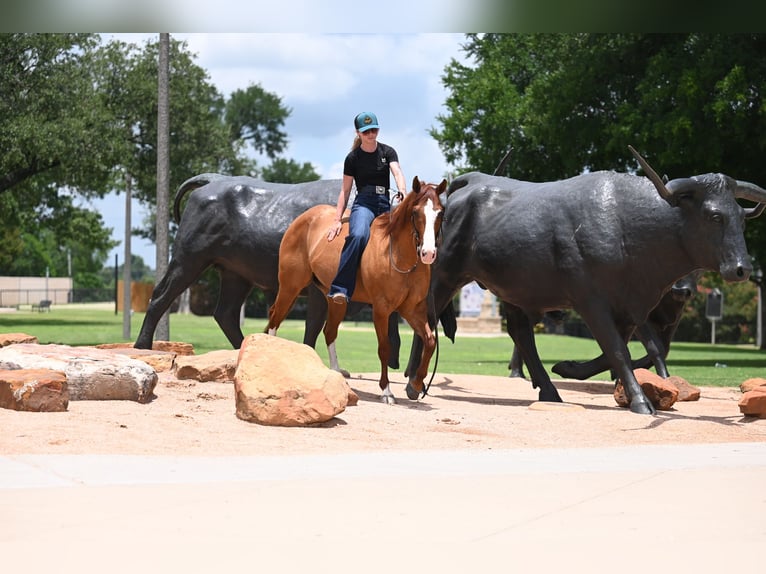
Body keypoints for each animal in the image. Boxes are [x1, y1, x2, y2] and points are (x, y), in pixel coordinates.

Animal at [267, 177, 447, 404]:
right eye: (415, 212)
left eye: (440, 212)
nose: (428, 253)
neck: (397, 254)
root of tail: (303, 219)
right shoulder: (381, 310)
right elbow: (385, 348)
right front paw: (386, 391)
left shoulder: (412, 310)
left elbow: (430, 341)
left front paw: (415, 385)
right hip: (290, 286)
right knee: (275, 318)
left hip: (335, 300)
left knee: (329, 332)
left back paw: (336, 375)